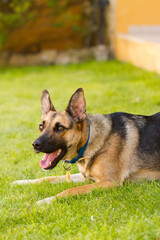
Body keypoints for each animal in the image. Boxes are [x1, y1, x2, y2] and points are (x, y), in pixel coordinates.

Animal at [12, 88, 160, 204]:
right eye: (41, 126)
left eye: (60, 128)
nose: (35, 145)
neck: (89, 141)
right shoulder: (86, 177)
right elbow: (48, 178)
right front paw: (23, 182)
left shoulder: (109, 182)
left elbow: (69, 191)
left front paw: (44, 201)